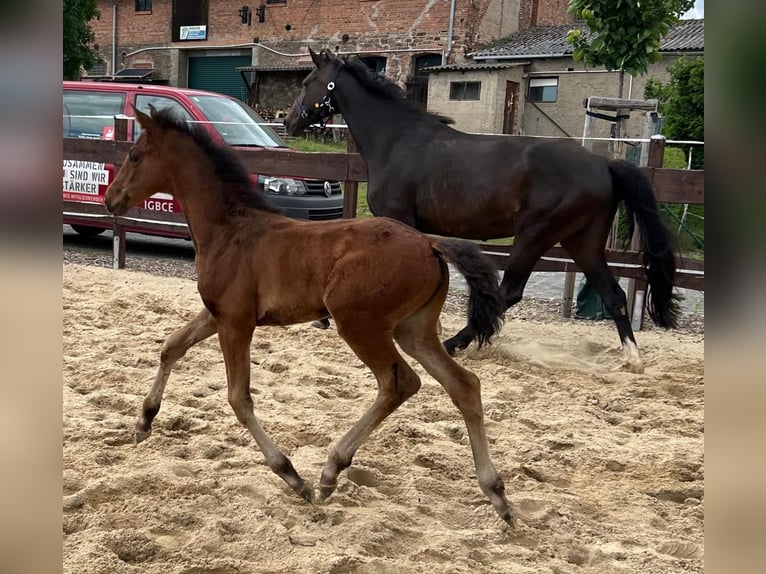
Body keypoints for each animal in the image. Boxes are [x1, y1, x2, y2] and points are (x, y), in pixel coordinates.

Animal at [103, 107, 516, 528]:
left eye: (134, 156)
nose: (110, 198)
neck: (228, 229)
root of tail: (429, 242)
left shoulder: (235, 323)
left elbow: (238, 398)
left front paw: (291, 475)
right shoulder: (217, 314)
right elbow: (171, 347)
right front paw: (143, 422)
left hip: (358, 323)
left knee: (398, 383)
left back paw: (331, 471)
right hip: (414, 329)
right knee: (464, 385)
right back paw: (497, 494)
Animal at [284, 48, 680, 374]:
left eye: (307, 81)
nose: (289, 122)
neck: (396, 142)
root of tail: (604, 164)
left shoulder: (399, 220)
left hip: (534, 236)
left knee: (508, 293)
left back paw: (455, 344)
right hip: (582, 242)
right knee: (613, 295)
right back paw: (632, 360)